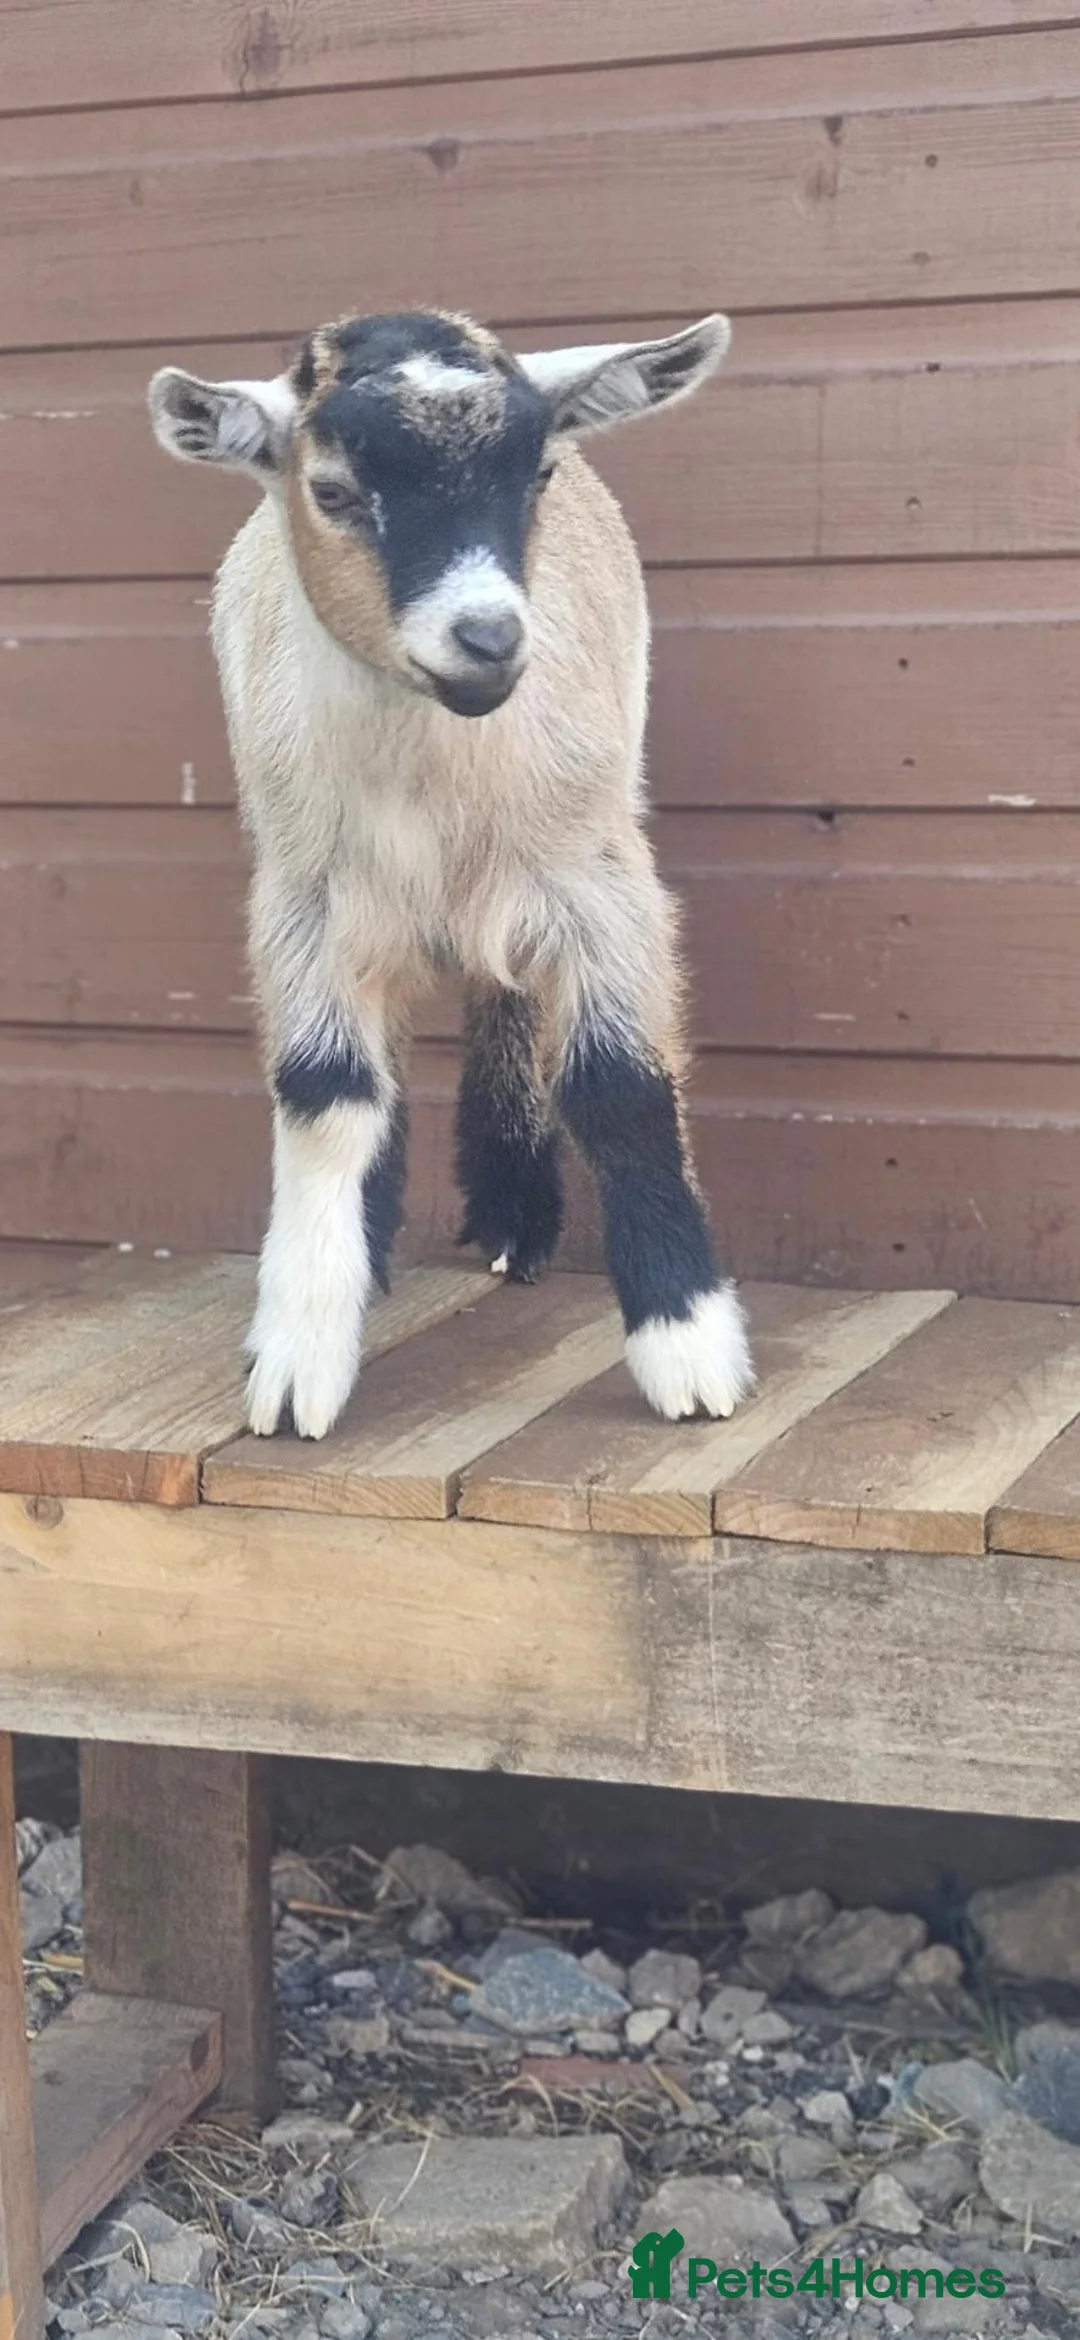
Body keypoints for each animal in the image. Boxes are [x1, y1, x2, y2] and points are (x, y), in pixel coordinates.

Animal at [148, 307, 755, 1439]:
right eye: (333, 490)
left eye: (539, 473)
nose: (488, 636)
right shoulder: (302, 901)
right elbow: (327, 1093)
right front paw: (300, 1350)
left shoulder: (601, 876)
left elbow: (620, 1085)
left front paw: (688, 1349)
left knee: (505, 995)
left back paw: (516, 1215)